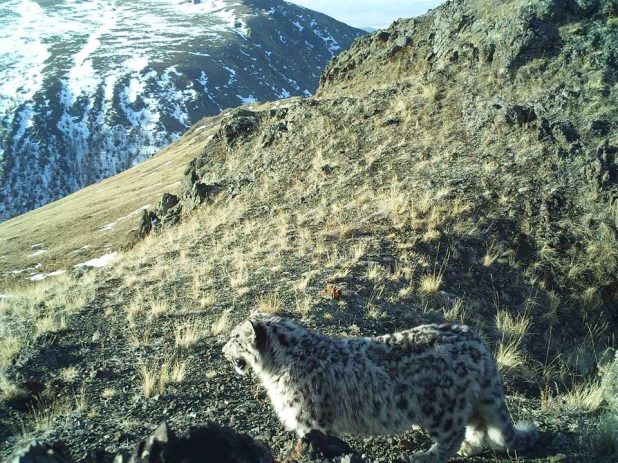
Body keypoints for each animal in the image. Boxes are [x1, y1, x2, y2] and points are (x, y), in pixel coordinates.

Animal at [220, 314, 536, 462]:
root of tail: (478, 340)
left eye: (235, 338)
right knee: (478, 424)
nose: (222, 350)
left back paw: (426, 456)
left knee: (452, 434)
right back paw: (470, 448)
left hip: (440, 407)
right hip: (465, 401)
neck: (275, 371)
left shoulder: (309, 421)